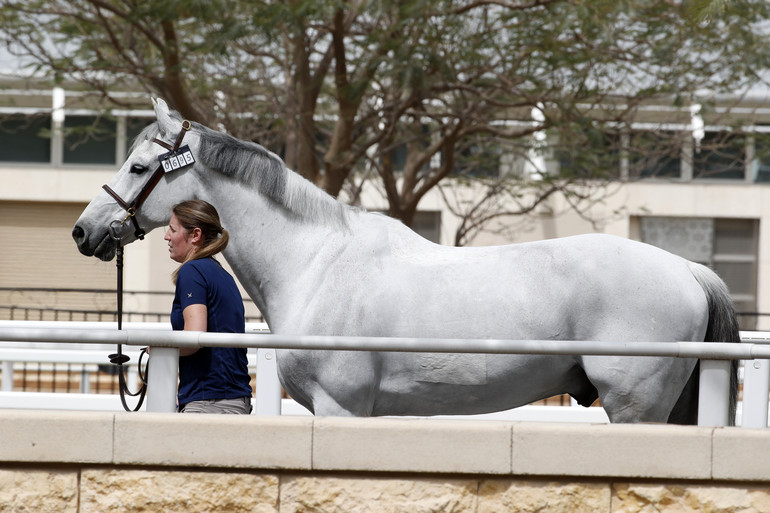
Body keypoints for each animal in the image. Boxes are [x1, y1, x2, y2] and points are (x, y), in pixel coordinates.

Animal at [72, 98, 736, 422]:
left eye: (137, 166)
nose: (84, 231)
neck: (316, 264)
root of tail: (687, 269)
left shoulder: (341, 407)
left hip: (635, 407)